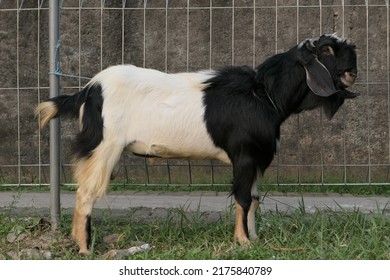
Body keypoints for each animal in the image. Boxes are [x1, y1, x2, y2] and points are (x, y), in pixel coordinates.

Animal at [37, 33, 360, 254]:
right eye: (327, 49)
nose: (354, 65)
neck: (264, 95)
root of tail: (88, 91)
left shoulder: (256, 159)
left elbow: (255, 199)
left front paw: (255, 239)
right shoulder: (244, 156)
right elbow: (243, 198)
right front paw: (242, 242)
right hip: (103, 147)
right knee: (86, 194)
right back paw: (84, 248)